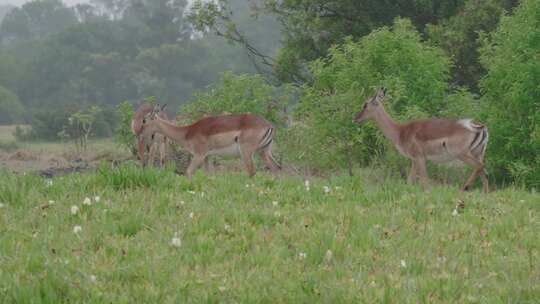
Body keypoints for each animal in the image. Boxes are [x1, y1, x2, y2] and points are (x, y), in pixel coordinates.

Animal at [139, 105, 280, 178]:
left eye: (144, 120)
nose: (139, 133)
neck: (187, 132)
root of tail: (269, 125)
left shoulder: (199, 155)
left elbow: (189, 172)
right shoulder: (208, 157)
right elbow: (209, 175)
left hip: (246, 152)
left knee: (252, 171)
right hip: (264, 151)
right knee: (276, 167)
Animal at [354, 88, 490, 192]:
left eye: (365, 104)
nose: (355, 118)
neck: (399, 132)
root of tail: (478, 126)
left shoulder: (419, 158)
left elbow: (425, 182)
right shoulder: (414, 160)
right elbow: (410, 181)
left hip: (462, 154)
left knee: (480, 167)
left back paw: (464, 188)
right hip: (477, 153)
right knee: (483, 172)